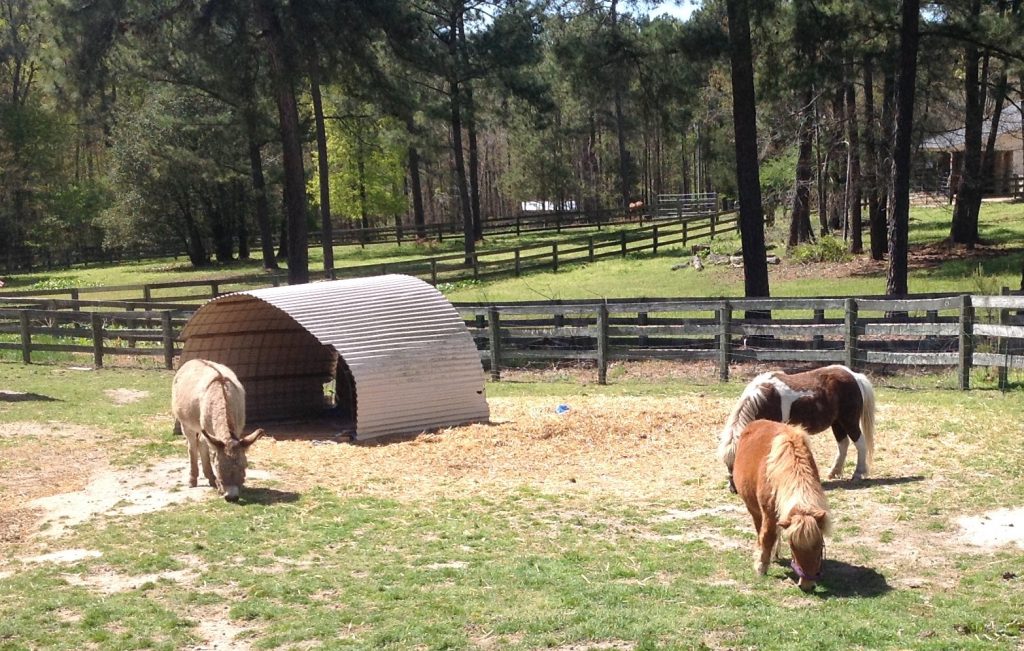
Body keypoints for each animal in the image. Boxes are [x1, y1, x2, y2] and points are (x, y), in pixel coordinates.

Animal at [716, 360, 876, 487]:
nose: (733, 489)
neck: (764, 399)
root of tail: (854, 376)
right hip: (837, 423)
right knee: (843, 444)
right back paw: (834, 472)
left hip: (849, 421)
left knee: (860, 443)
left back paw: (858, 474)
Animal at [733, 419, 827, 593]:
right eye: (793, 547)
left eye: (819, 546)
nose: (807, 585)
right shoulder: (768, 514)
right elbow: (767, 537)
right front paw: (761, 566)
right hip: (754, 509)